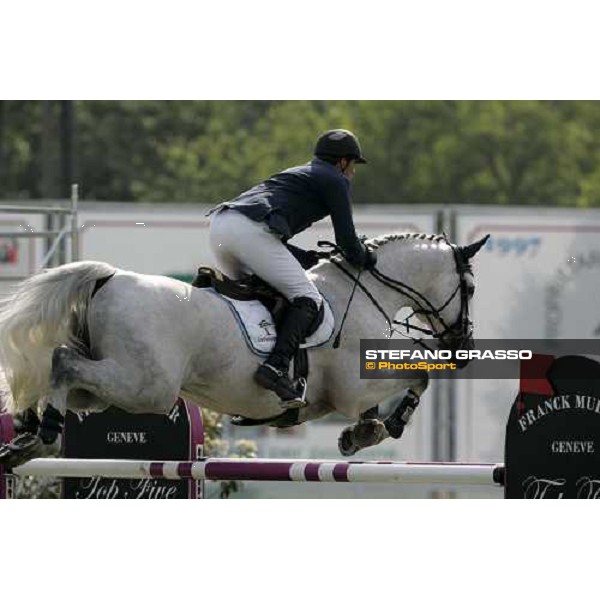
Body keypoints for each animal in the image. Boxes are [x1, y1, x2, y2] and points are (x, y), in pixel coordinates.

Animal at [0, 231, 488, 464]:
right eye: (469, 288)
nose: (463, 345)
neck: (365, 289)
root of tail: (110, 277)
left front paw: (363, 432)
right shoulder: (352, 388)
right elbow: (419, 376)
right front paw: (377, 430)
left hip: (111, 390)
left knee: (64, 379)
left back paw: (28, 435)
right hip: (144, 387)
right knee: (62, 362)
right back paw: (43, 434)